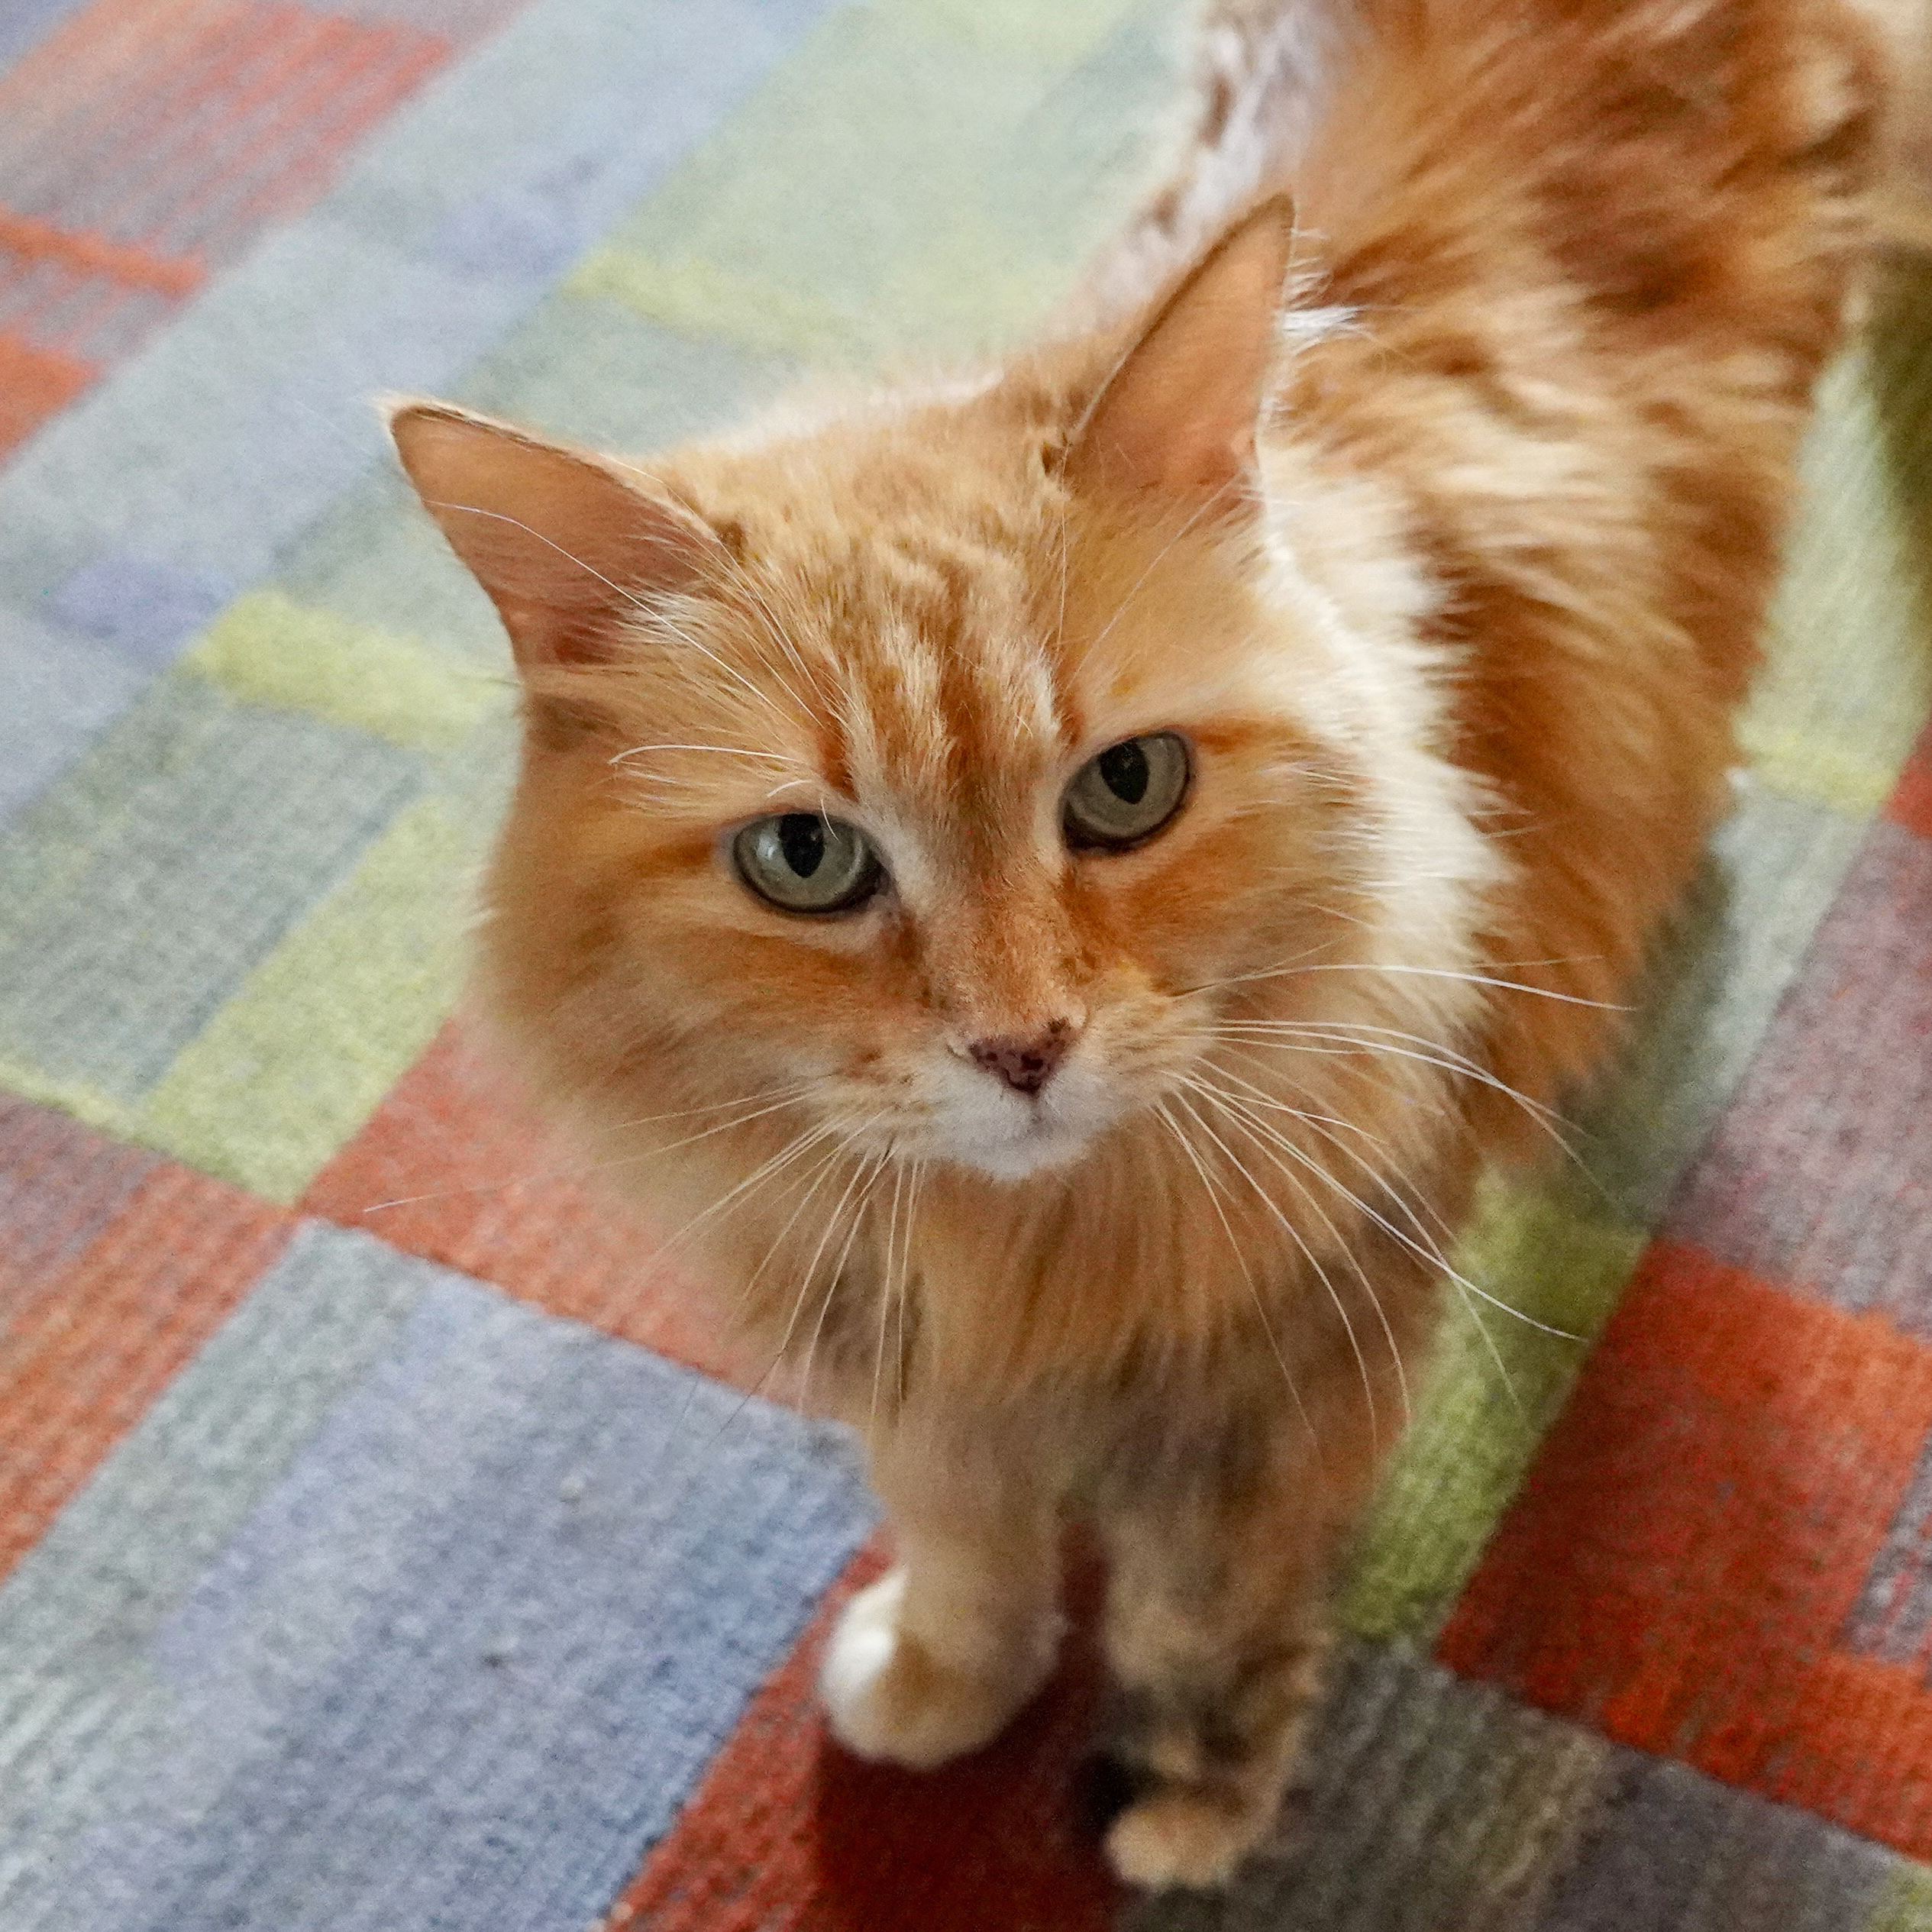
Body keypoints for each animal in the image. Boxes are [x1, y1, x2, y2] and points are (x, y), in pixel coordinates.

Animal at [388, 0, 1916, 1893]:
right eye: (807, 859)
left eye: (1125, 789)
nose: (1020, 1046)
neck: (1041, 1260)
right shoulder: (914, 1359)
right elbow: (966, 1535)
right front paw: (951, 1673)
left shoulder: (1292, 1350)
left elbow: (1201, 1611)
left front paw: (1184, 1793)